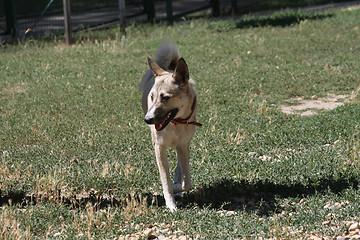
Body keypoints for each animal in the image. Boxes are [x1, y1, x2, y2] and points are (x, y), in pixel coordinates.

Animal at [140, 42, 201, 211]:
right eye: (152, 97)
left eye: (165, 98)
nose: (147, 120)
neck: (176, 122)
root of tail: (168, 69)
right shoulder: (159, 147)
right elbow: (165, 180)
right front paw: (171, 204)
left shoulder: (183, 145)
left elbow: (187, 182)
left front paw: (176, 188)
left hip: (185, 143)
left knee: (181, 167)